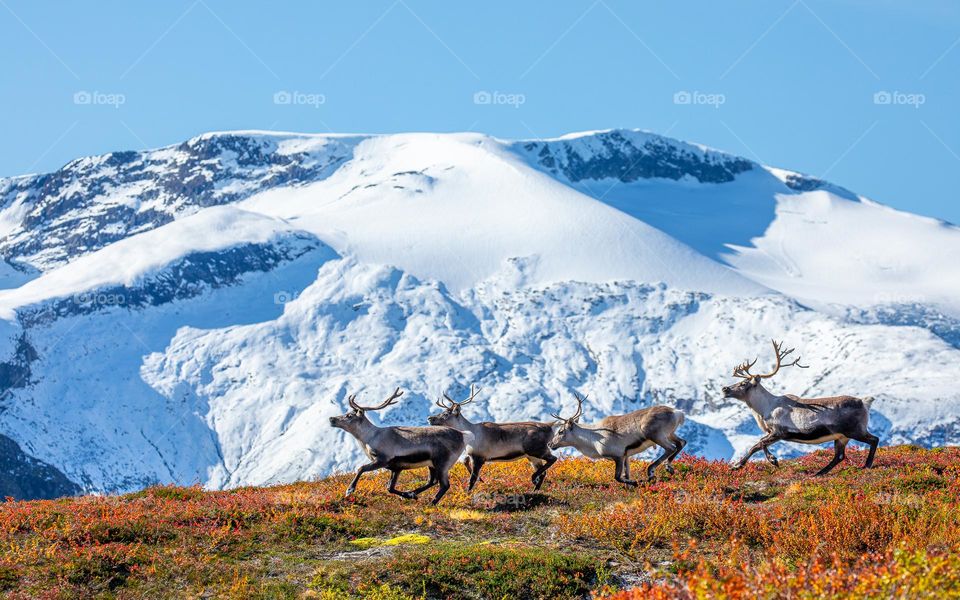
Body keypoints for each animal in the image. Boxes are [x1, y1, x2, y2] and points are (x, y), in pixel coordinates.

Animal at [328, 387, 471, 505]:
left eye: (349, 415)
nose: (331, 419)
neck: (369, 438)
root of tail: (463, 434)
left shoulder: (383, 459)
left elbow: (361, 468)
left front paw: (349, 489)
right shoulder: (396, 468)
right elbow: (389, 488)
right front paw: (408, 495)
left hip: (443, 463)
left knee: (444, 485)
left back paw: (432, 503)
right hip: (432, 464)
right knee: (432, 481)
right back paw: (413, 493)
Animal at [427, 385, 558, 492]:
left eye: (445, 414)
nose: (430, 418)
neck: (470, 436)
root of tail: (550, 426)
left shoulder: (479, 457)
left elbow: (472, 479)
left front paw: (469, 492)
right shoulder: (472, 455)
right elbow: (466, 465)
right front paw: (481, 482)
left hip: (537, 449)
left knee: (553, 459)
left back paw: (533, 478)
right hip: (531, 456)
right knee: (543, 472)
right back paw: (535, 489)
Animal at [548, 393, 686, 486]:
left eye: (561, 431)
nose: (550, 444)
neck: (593, 440)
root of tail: (678, 412)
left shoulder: (618, 455)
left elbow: (617, 477)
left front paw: (635, 482)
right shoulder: (626, 455)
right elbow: (626, 474)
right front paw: (630, 485)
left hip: (656, 435)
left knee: (671, 448)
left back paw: (652, 471)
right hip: (670, 434)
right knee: (681, 442)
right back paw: (669, 468)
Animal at [721, 340, 880, 476]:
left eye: (743, 383)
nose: (724, 389)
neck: (764, 409)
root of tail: (864, 402)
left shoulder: (779, 432)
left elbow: (758, 444)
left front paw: (745, 464)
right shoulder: (772, 432)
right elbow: (759, 444)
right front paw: (766, 461)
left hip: (855, 430)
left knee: (874, 439)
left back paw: (866, 465)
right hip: (841, 436)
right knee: (839, 456)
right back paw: (818, 473)